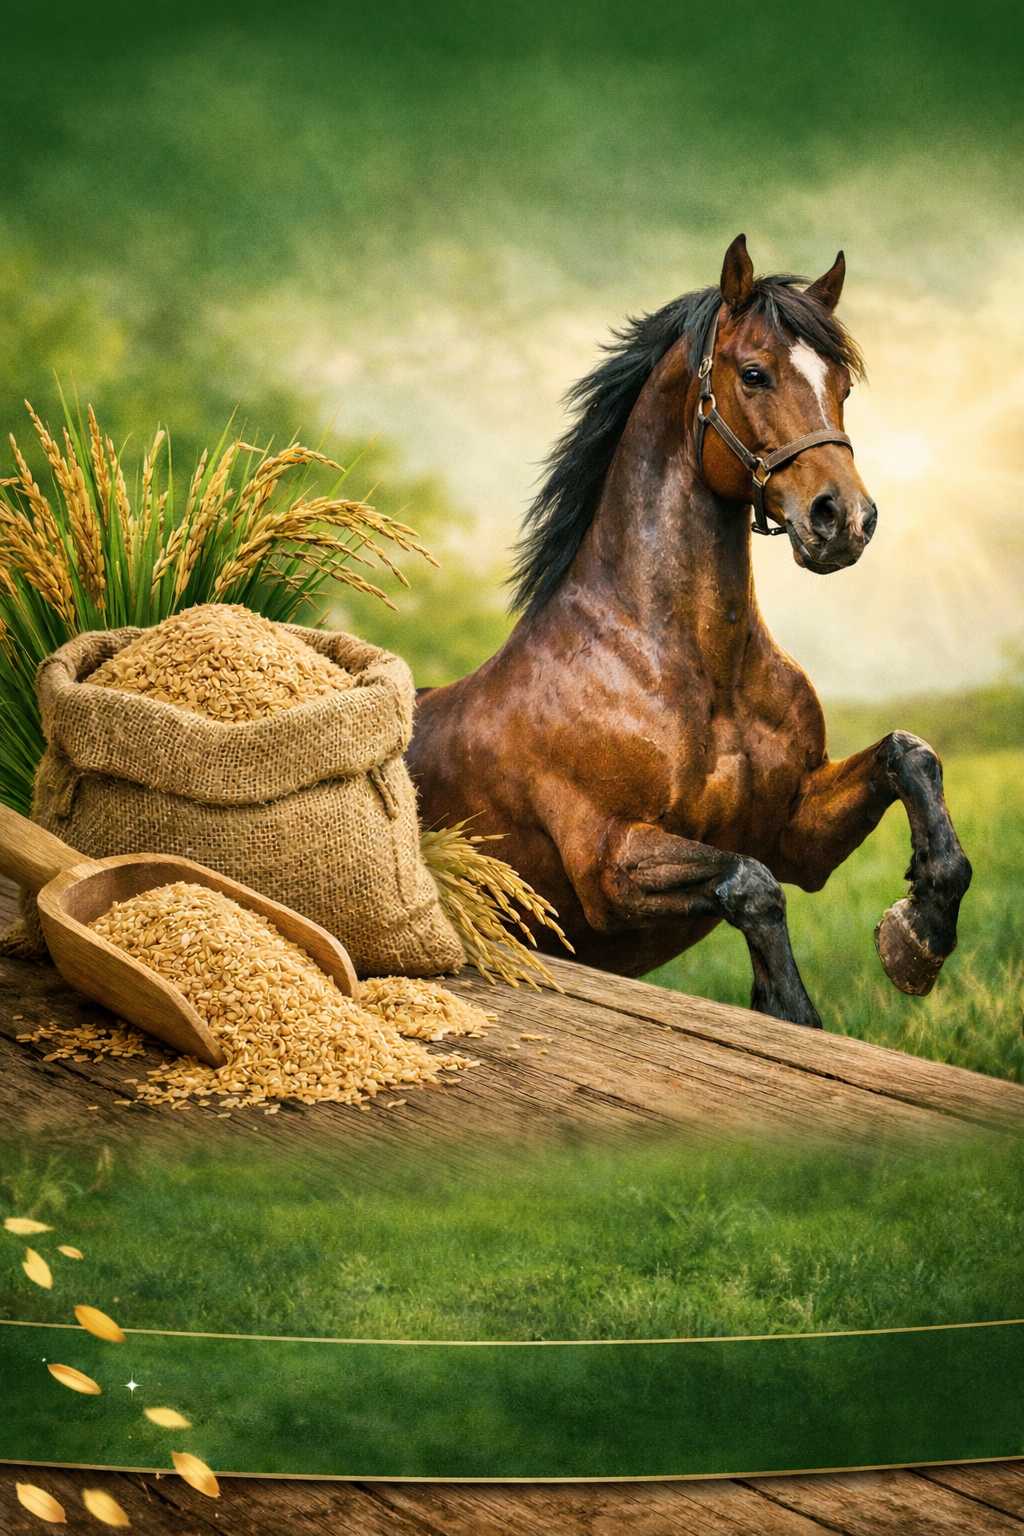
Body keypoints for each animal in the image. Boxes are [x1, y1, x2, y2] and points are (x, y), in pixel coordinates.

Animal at [407, 235, 971, 1027]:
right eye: (755, 374)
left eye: (842, 385)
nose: (845, 520)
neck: (696, 673)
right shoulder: (608, 866)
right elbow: (753, 886)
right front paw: (788, 1006)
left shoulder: (797, 833)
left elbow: (909, 756)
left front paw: (916, 936)